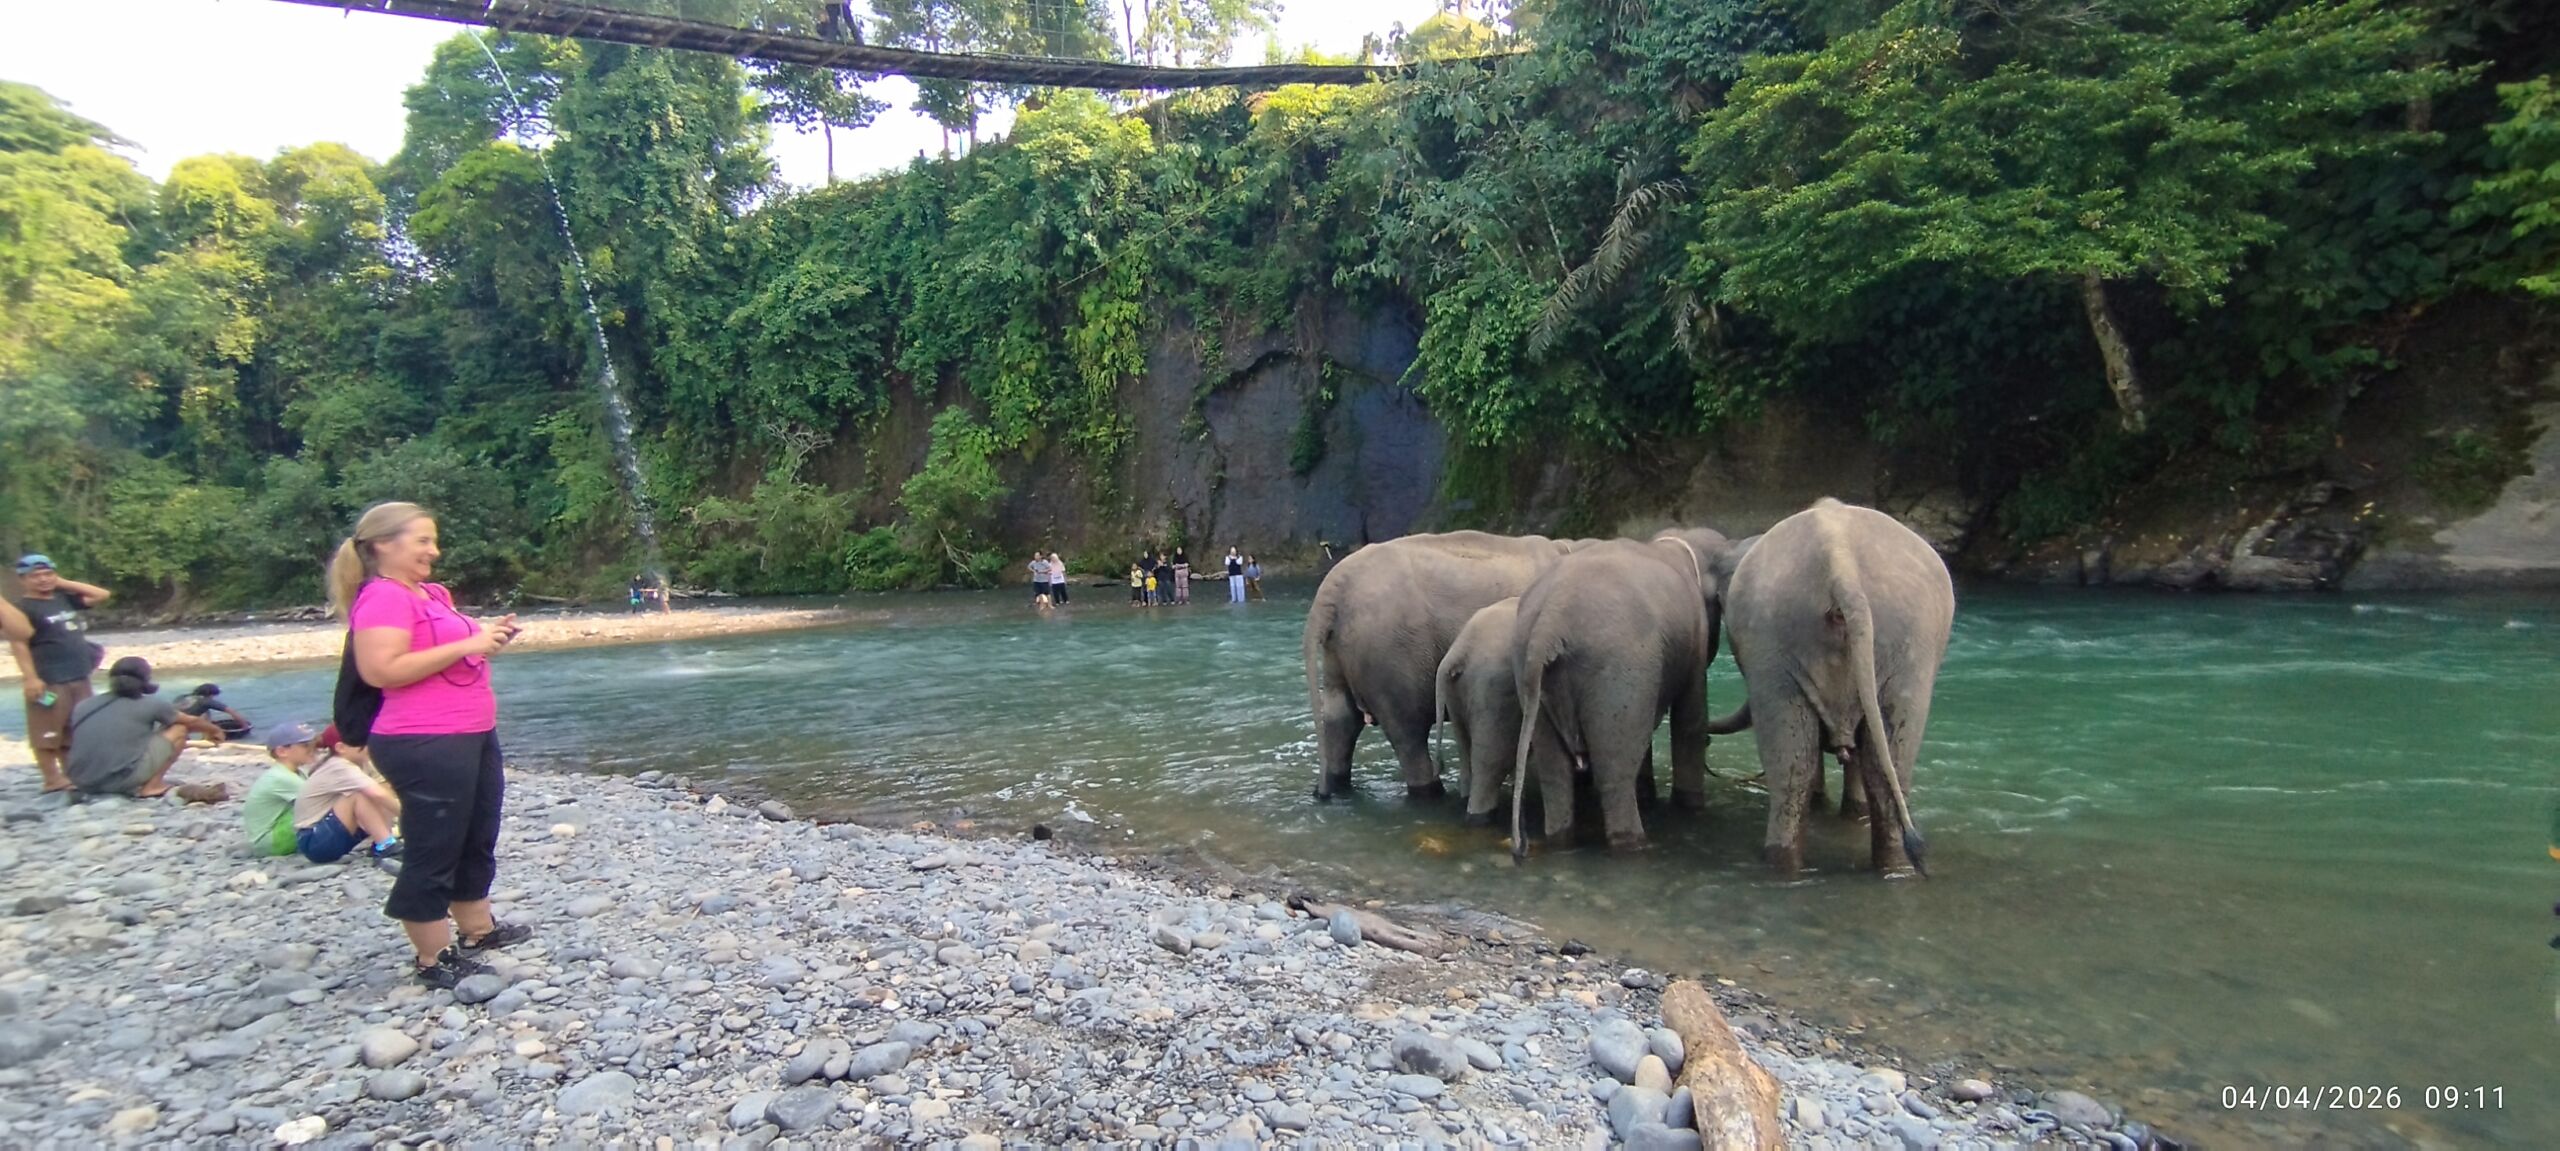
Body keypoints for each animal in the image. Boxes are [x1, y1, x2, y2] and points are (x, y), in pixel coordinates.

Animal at [1305, 531, 1589, 800]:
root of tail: (1333, 585)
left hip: (1341, 653)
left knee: (1341, 719)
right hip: (1389, 656)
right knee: (1407, 733)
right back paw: (1431, 795)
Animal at [1508, 527, 1732, 856]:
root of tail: (1548, 623)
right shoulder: (1694, 641)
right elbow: (1689, 721)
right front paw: (1690, 808)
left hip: (1531, 674)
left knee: (1555, 775)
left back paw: (1561, 841)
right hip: (1617, 666)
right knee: (1615, 777)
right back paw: (1633, 844)